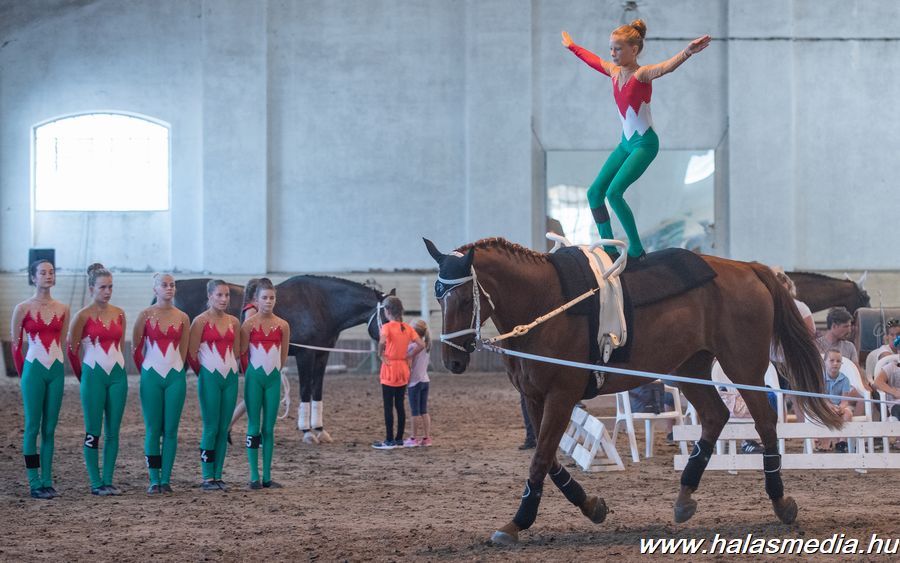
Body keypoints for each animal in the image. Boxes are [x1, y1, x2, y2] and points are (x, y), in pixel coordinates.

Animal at [174, 278, 388, 446]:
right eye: (386, 317)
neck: (321, 304)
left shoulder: (322, 354)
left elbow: (317, 390)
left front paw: (320, 430)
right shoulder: (305, 354)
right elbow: (305, 391)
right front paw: (307, 432)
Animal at [424, 238, 844, 548]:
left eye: (464, 298)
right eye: (438, 295)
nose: (453, 360)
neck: (544, 303)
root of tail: (749, 268)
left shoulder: (561, 395)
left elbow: (541, 459)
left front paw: (517, 522)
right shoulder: (534, 397)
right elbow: (550, 458)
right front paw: (592, 506)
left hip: (743, 366)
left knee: (766, 422)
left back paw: (781, 502)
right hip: (688, 367)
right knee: (716, 416)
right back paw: (684, 497)